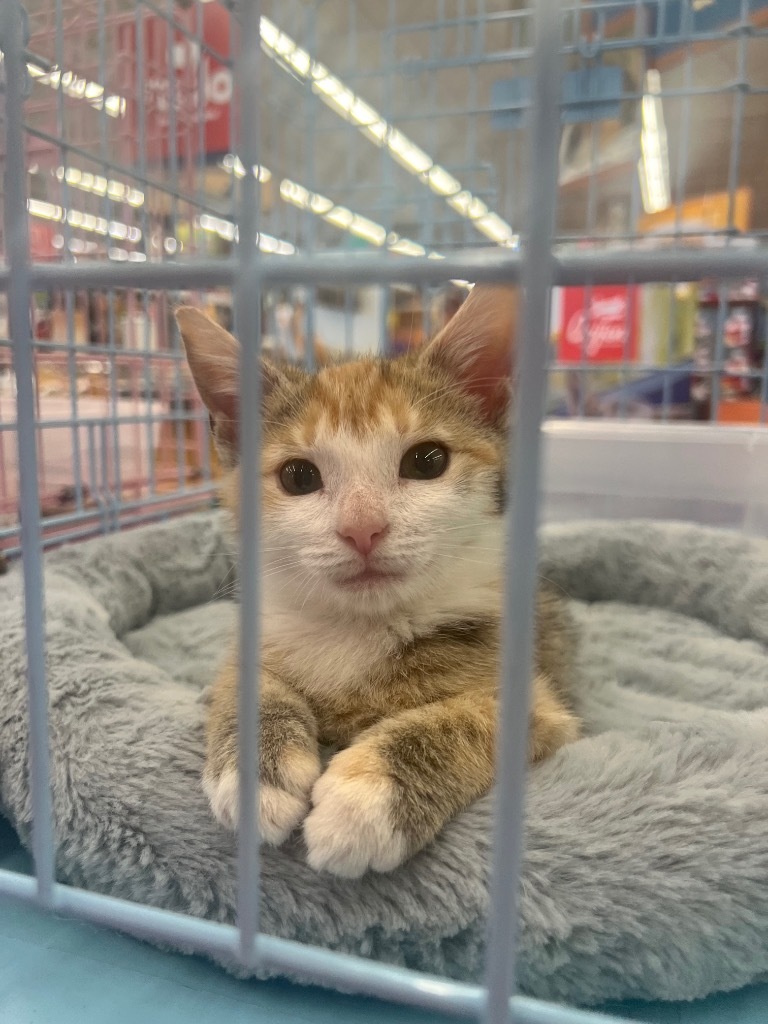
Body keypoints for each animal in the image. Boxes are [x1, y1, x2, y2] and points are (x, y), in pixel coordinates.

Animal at [177, 288, 581, 880]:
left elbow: (466, 719)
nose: (362, 528)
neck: (361, 628)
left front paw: (366, 802)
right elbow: (244, 682)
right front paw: (255, 774)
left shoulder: (539, 702)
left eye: (428, 461)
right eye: (298, 476)